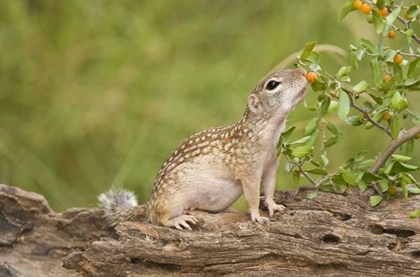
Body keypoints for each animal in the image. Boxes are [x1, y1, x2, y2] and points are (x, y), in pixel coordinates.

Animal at [99, 68, 308, 230]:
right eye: (272, 85)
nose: (303, 71)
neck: (266, 132)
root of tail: (150, 203)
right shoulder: (248, 169)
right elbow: (253, 194)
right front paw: (257, 215)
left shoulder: (272, 163)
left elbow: (270, 187)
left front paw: (274, 205)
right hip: (172, 200)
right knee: (159, 218)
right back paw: (178, 219)